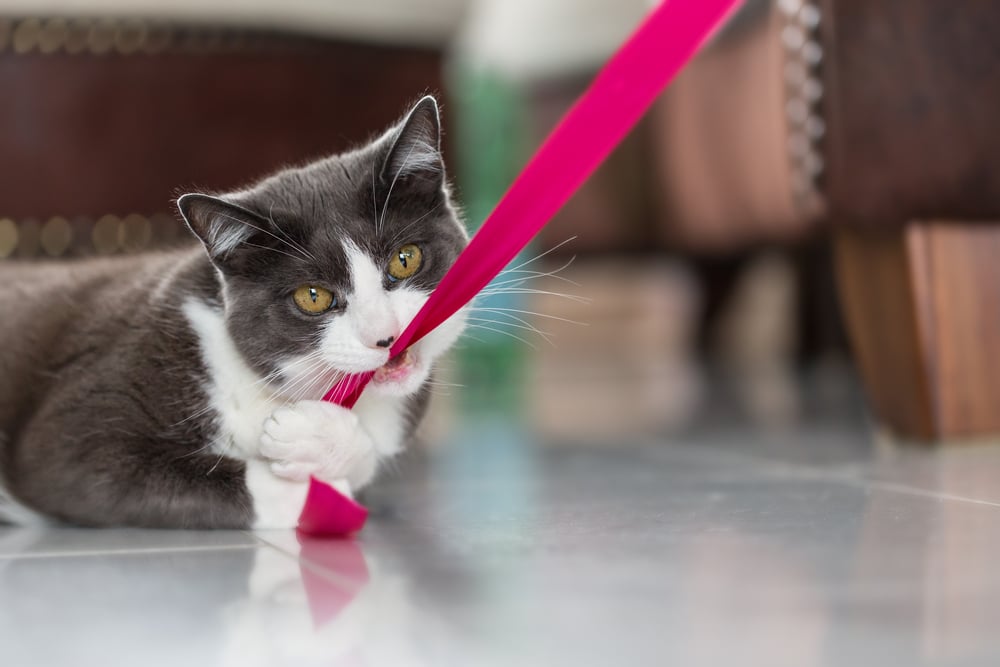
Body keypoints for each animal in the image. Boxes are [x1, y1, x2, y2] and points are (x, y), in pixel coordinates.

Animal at [0, 96, 468, 528]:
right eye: (313, 296)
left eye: (405, 259)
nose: (386, 335)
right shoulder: (81, 416)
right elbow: (70, 464)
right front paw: (314, 485)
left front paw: (320, 439)